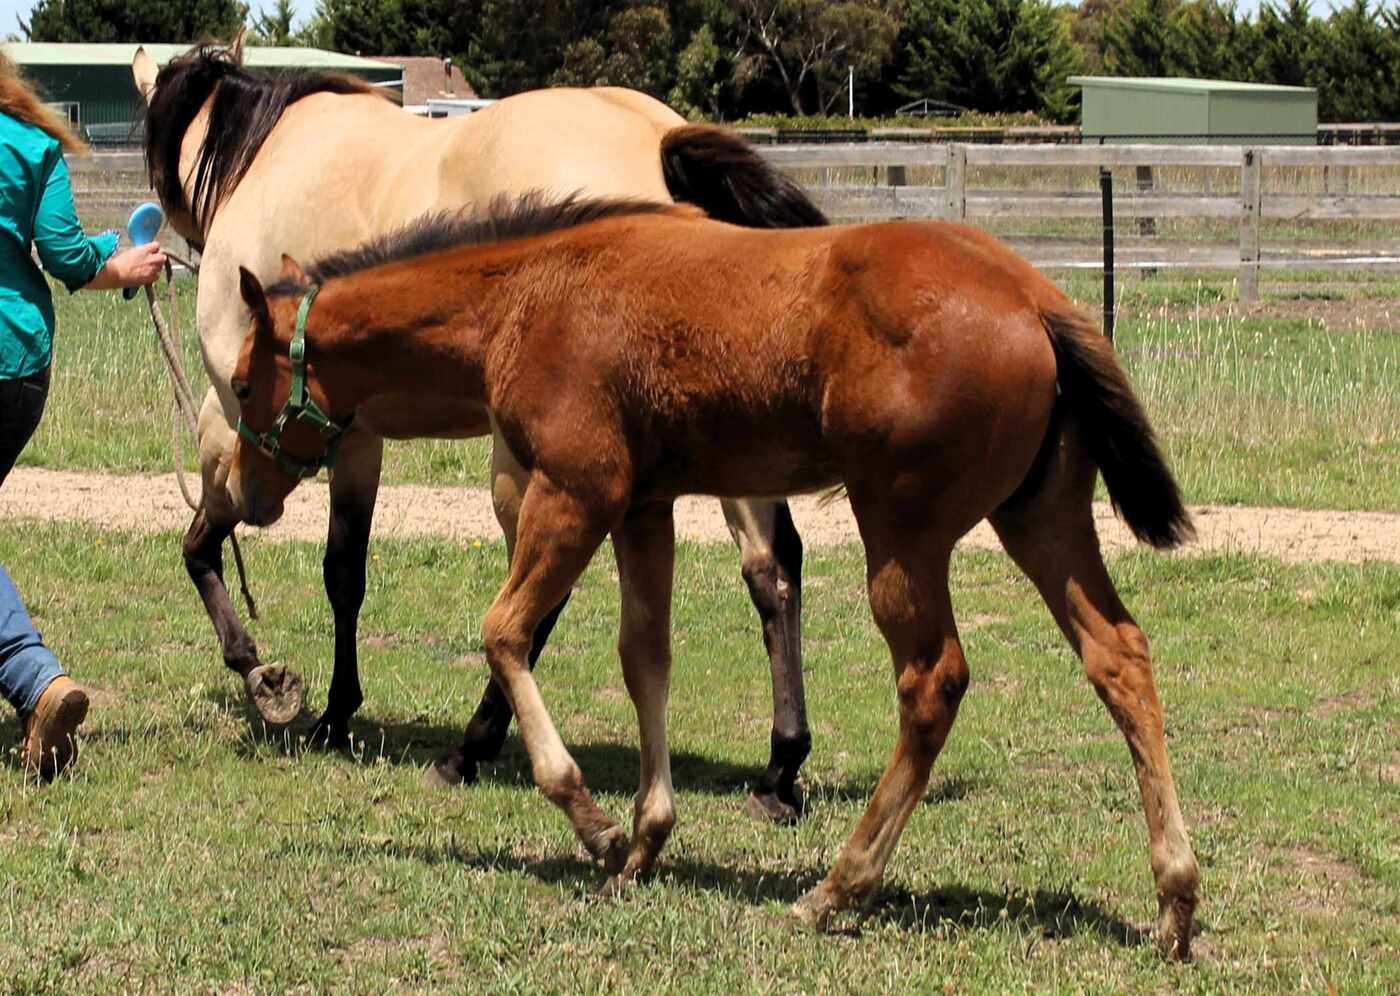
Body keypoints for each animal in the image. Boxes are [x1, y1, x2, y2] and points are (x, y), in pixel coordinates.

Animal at [133, 40, 823, 820]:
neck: (269, 154)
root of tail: (659, 139)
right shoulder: (351, 435)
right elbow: (345, 570)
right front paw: (332, 706)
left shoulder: (240, 420)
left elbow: (218, 547)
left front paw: (276, 682)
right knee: (772, 568)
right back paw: (780, 770)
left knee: (541, 602)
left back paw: (469, 749)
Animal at [227, 196, 1201, 959]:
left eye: (240, 384)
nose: (244, 496)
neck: (525, 298)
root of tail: (1037, 296)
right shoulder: (644, 506)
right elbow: (645, 657)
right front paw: (645, 843)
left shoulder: (576, 492)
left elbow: (505, 633)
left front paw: (594, 823)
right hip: (1042, 515)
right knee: (1119, 655)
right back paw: (1176, 899)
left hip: (902, 527)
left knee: (934, 682)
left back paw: (838, 889)